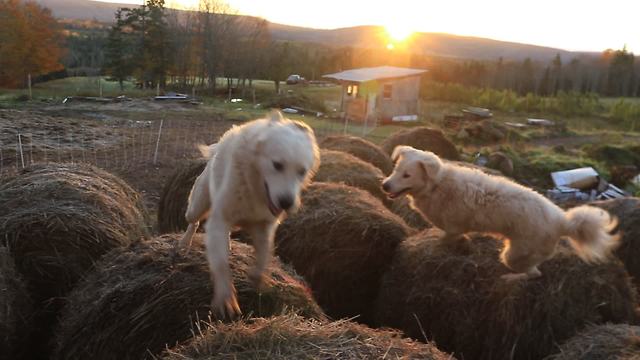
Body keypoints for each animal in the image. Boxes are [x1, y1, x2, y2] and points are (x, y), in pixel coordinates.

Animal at [178, 110, 320, 318]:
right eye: (277, 165)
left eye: (301, 171)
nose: (287, 203)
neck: (255, 188)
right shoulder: (219, 220)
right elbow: (221, 264)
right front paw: (226, 299)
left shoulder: (264, 227)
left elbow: (263, 256)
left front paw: (257, 279)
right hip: (197, 206)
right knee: (193, 222)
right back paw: (185, 243)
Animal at [382, 146, 616, 282]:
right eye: (395, 169)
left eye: (407, 175)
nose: (384, 185)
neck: (437, 185)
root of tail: (562, 221)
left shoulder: (454, 227)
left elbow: (446, 238)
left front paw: (436, 245)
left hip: (514, 254)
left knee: (533, 274)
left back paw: (509, 279)